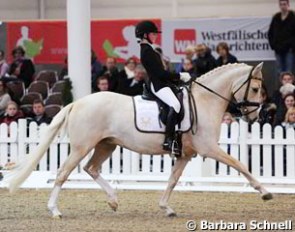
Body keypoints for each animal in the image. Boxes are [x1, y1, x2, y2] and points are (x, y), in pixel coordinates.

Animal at [5, 62, 272, 218]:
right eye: (256, 89)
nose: (255, 116)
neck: (205, 101)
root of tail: (77, 103)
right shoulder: (209, 149)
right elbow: (241, 165)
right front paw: (265, 192)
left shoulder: (185, 154)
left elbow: (173, 180)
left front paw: (166, 207)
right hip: (82, 147)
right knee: (63, 173)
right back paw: (55, 211)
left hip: (107, 144)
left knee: (92, 168)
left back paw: (113, 201)